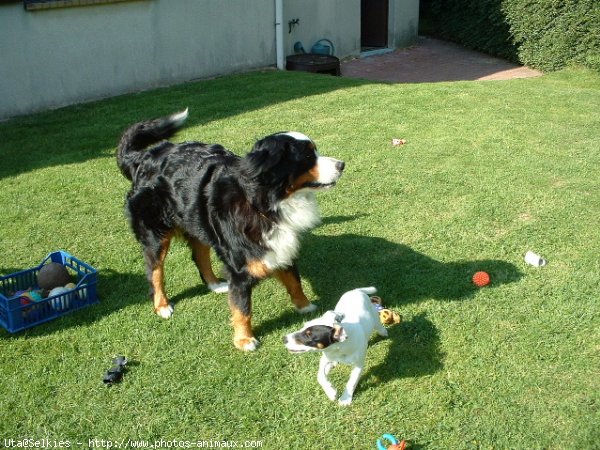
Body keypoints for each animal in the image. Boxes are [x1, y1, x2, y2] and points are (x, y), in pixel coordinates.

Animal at [117, 109, 344, 352]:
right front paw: (244, 339)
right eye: (308, 156)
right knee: (155, 271)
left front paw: (305, 306)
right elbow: (242, 308)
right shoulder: (240, 268)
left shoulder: (281, 245)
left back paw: (215, 284)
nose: (342, 164)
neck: (264, 203)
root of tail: (144, 157)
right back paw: (162, 305)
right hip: (155, 234)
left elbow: (294, 281)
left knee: (199, 255)